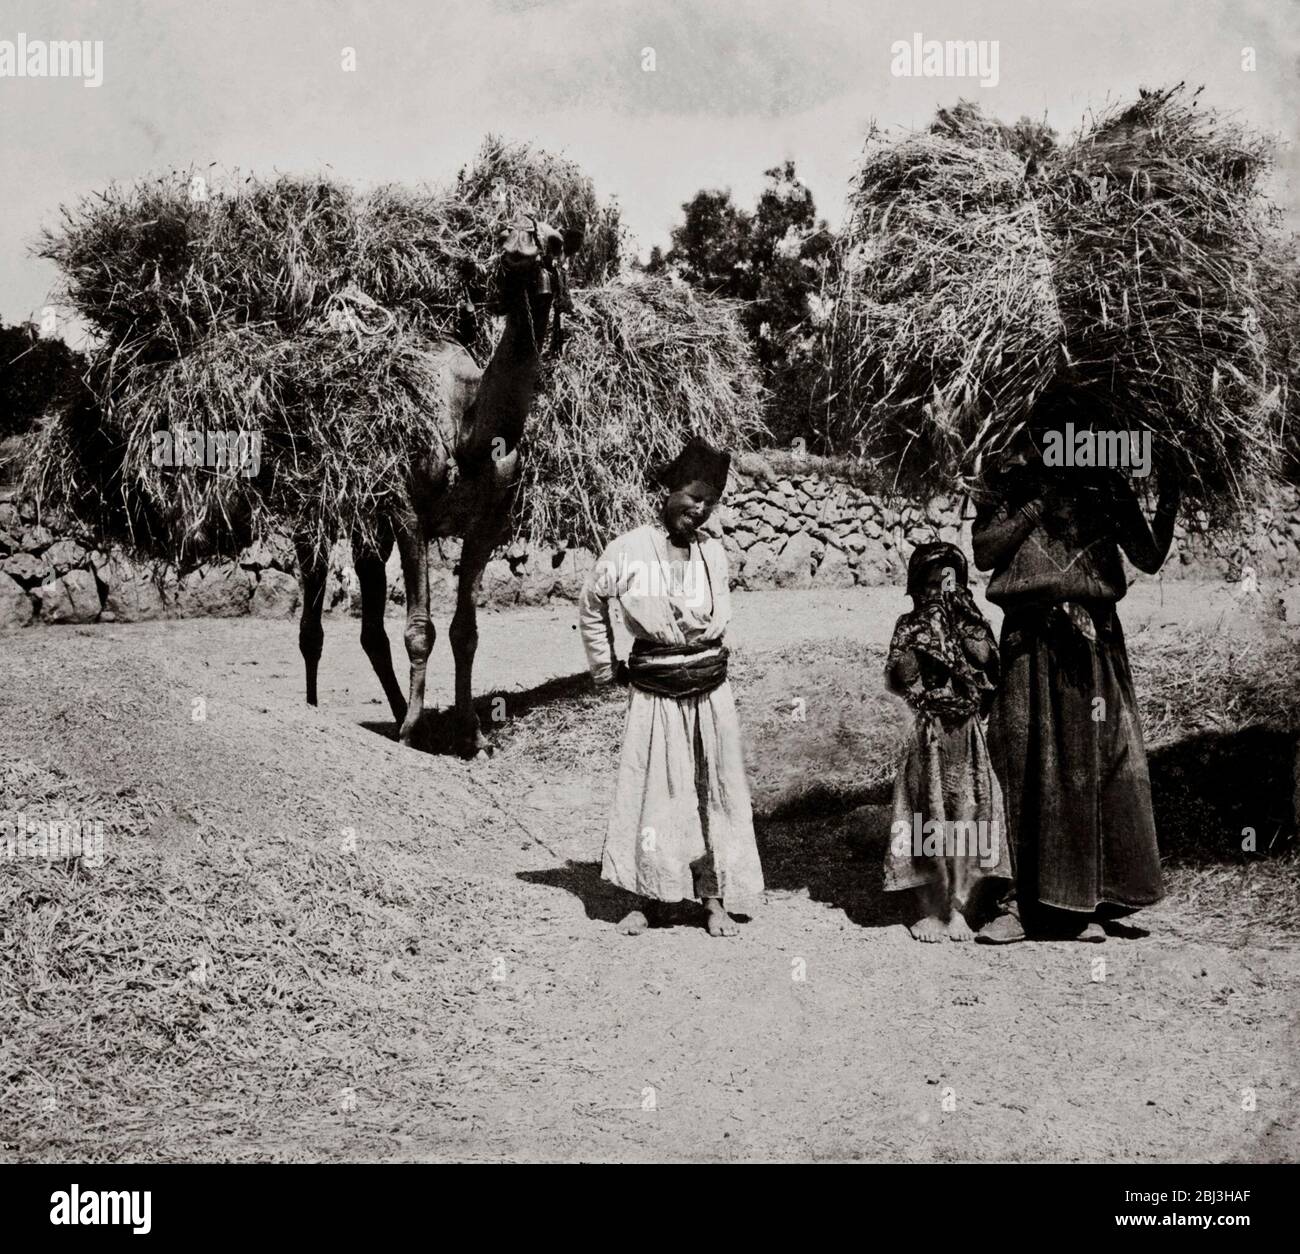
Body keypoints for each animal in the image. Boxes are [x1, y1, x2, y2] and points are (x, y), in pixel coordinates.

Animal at [297, 215, 582, 753]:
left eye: (555, 241)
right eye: (505, 234)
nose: (521, 247)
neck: (469, 433)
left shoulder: (488, 523)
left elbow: (464, 631)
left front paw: (473, 734)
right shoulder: (409, 510)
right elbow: (419, 628)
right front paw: (411, 734)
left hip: (370, 527)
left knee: (370, 622)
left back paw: (402, 714)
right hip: (315, 509)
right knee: (312, 619)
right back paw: (319, 710)